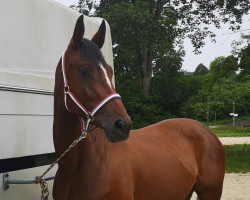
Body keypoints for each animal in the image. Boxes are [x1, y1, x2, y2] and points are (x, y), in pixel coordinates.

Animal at [52, 14, 225, 199]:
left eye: (110, 71)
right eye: (84, 71)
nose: (122, 124)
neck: (75, 169)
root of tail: (207, 132)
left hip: (210, 193)